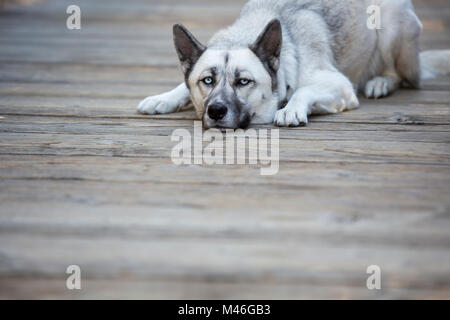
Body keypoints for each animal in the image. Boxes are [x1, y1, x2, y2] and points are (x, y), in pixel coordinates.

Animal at [137, 0, 450, 128]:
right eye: (207, 81)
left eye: (243, 82)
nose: (215, 111)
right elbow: (181, 86)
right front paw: (163, 98)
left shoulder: (340, 85)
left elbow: (304, 89)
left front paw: (291, 109)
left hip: (393, 25)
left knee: (403, 75)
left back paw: (380, 82)